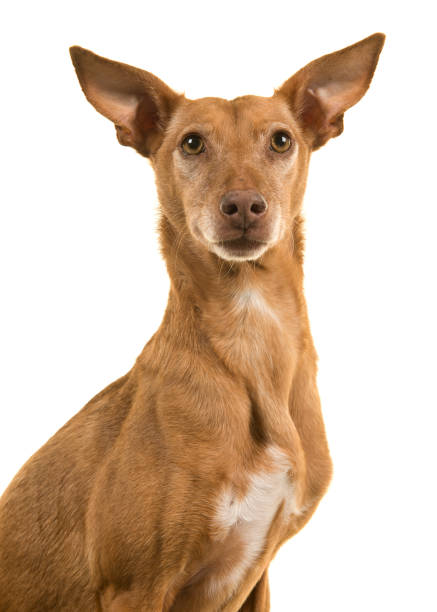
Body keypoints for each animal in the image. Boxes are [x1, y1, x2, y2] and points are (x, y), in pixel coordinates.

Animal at [0, 34, 382, 612]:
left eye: (281, 140)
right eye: (193, 143)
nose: (243, 205)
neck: (250, 339)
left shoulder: (257, 574)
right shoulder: (135, 585)